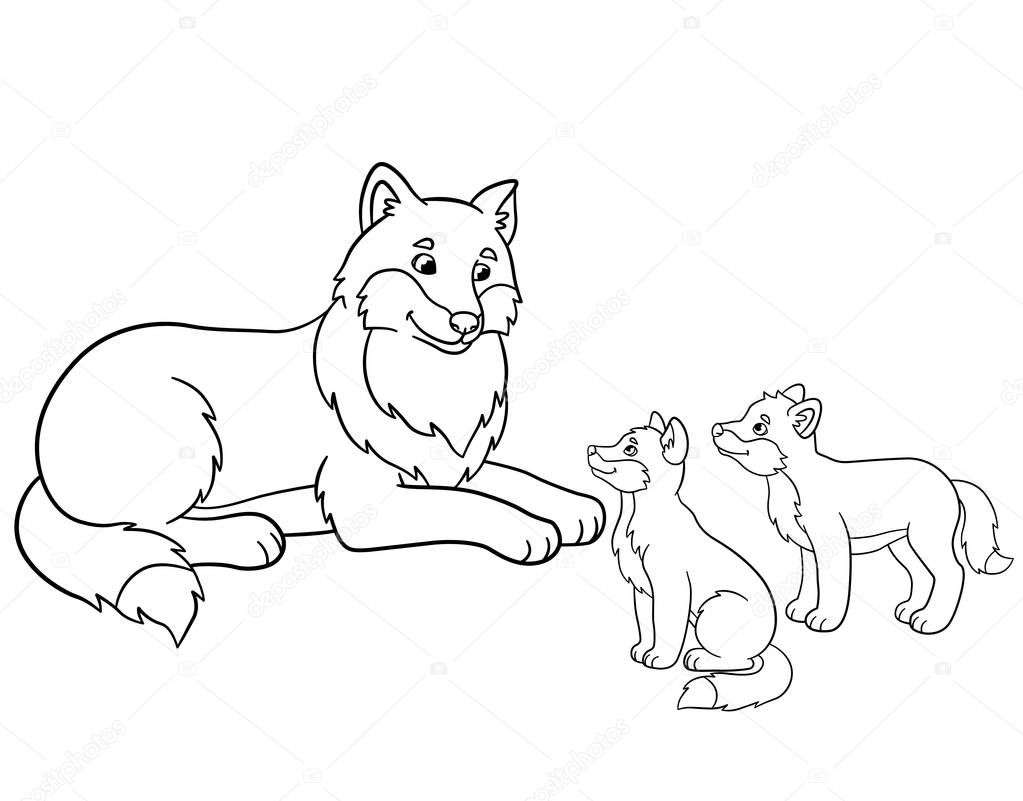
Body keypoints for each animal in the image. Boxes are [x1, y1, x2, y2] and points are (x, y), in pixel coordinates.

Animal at [15, 163, 605, 645]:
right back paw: (248, 534)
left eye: (483, 272)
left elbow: (514, 479)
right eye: (424, 265)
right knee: (143, 528)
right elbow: (473, 506)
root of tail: (41, 465)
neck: (430, 380)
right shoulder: (372, 507)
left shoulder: (445, 465)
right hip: (189, 429)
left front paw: (574, 505)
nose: (467, 322)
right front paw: (528, 529)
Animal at [588, 413, 792, 711]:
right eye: (619, 441)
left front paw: (661, 658)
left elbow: (667, 627)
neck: (636, 516)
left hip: (715, 609)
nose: (591, 449)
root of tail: (767, 644)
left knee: (745, 662)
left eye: (630, 449)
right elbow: (647, 625)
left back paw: (699, 658)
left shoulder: (672, 590)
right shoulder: (643, 591)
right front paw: (644, 650)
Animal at [713, 384, 1012, 634]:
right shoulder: (807, 548)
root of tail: (949, 480)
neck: (788, 484)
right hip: (903, 545)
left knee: (953, 572)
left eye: (759, 427)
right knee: (922, 575)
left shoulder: (832, 544)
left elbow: (830, 587)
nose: (716, 428)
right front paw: (801, 608)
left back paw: (931, 621)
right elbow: (809, 581)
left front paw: (824, 618)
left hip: (927, 541)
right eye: (745, 415)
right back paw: (910, 611)